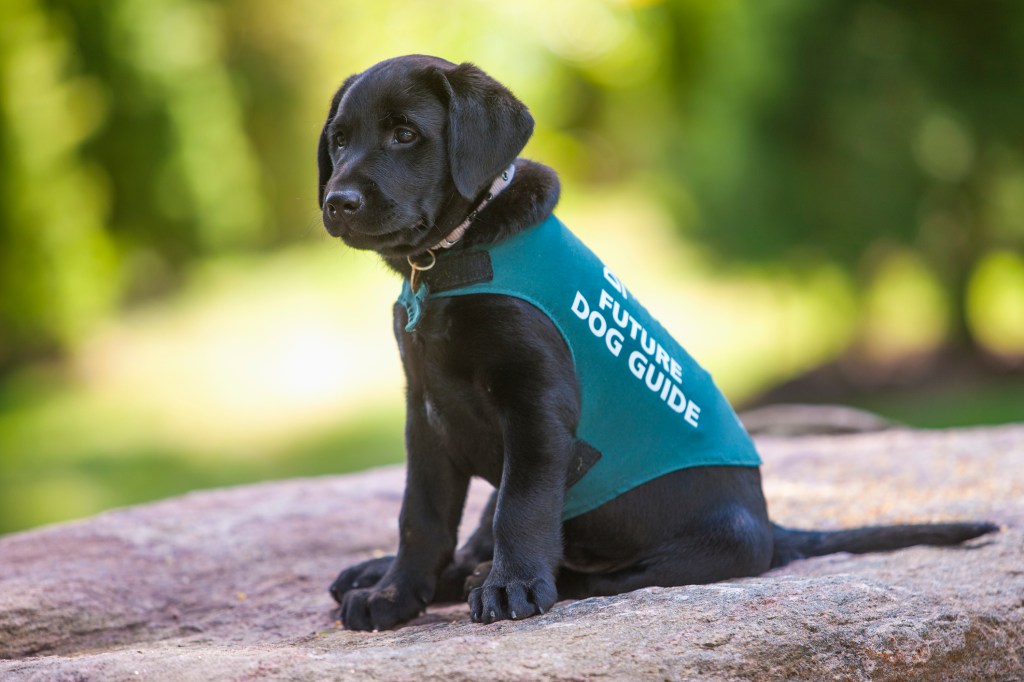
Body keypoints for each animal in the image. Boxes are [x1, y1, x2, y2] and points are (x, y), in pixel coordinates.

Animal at [315, 55, 995, 630]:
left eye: (406, 135)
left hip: (697, 549)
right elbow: (421, 515)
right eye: (339, 140)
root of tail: (771, 526)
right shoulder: (427, 413)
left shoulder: (537, 404)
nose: (337, 201)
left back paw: (502, 576)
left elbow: (522, 506)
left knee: (600, 576)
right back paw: (392, 573)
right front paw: (395, 593)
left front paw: (511, 587)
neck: (450, 257)